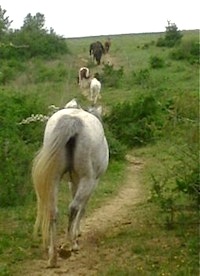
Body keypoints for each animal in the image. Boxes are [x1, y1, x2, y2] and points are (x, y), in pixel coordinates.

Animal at [32, 99, 108, 268]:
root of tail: (73, 121)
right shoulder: (92, 182)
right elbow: (82, 208)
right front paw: (76, 235)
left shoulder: (73, 182)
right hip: (87, 179)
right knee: (74, 207)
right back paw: (68, 246)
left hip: (54, 178)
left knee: (53, 211)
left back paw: (53, 257)